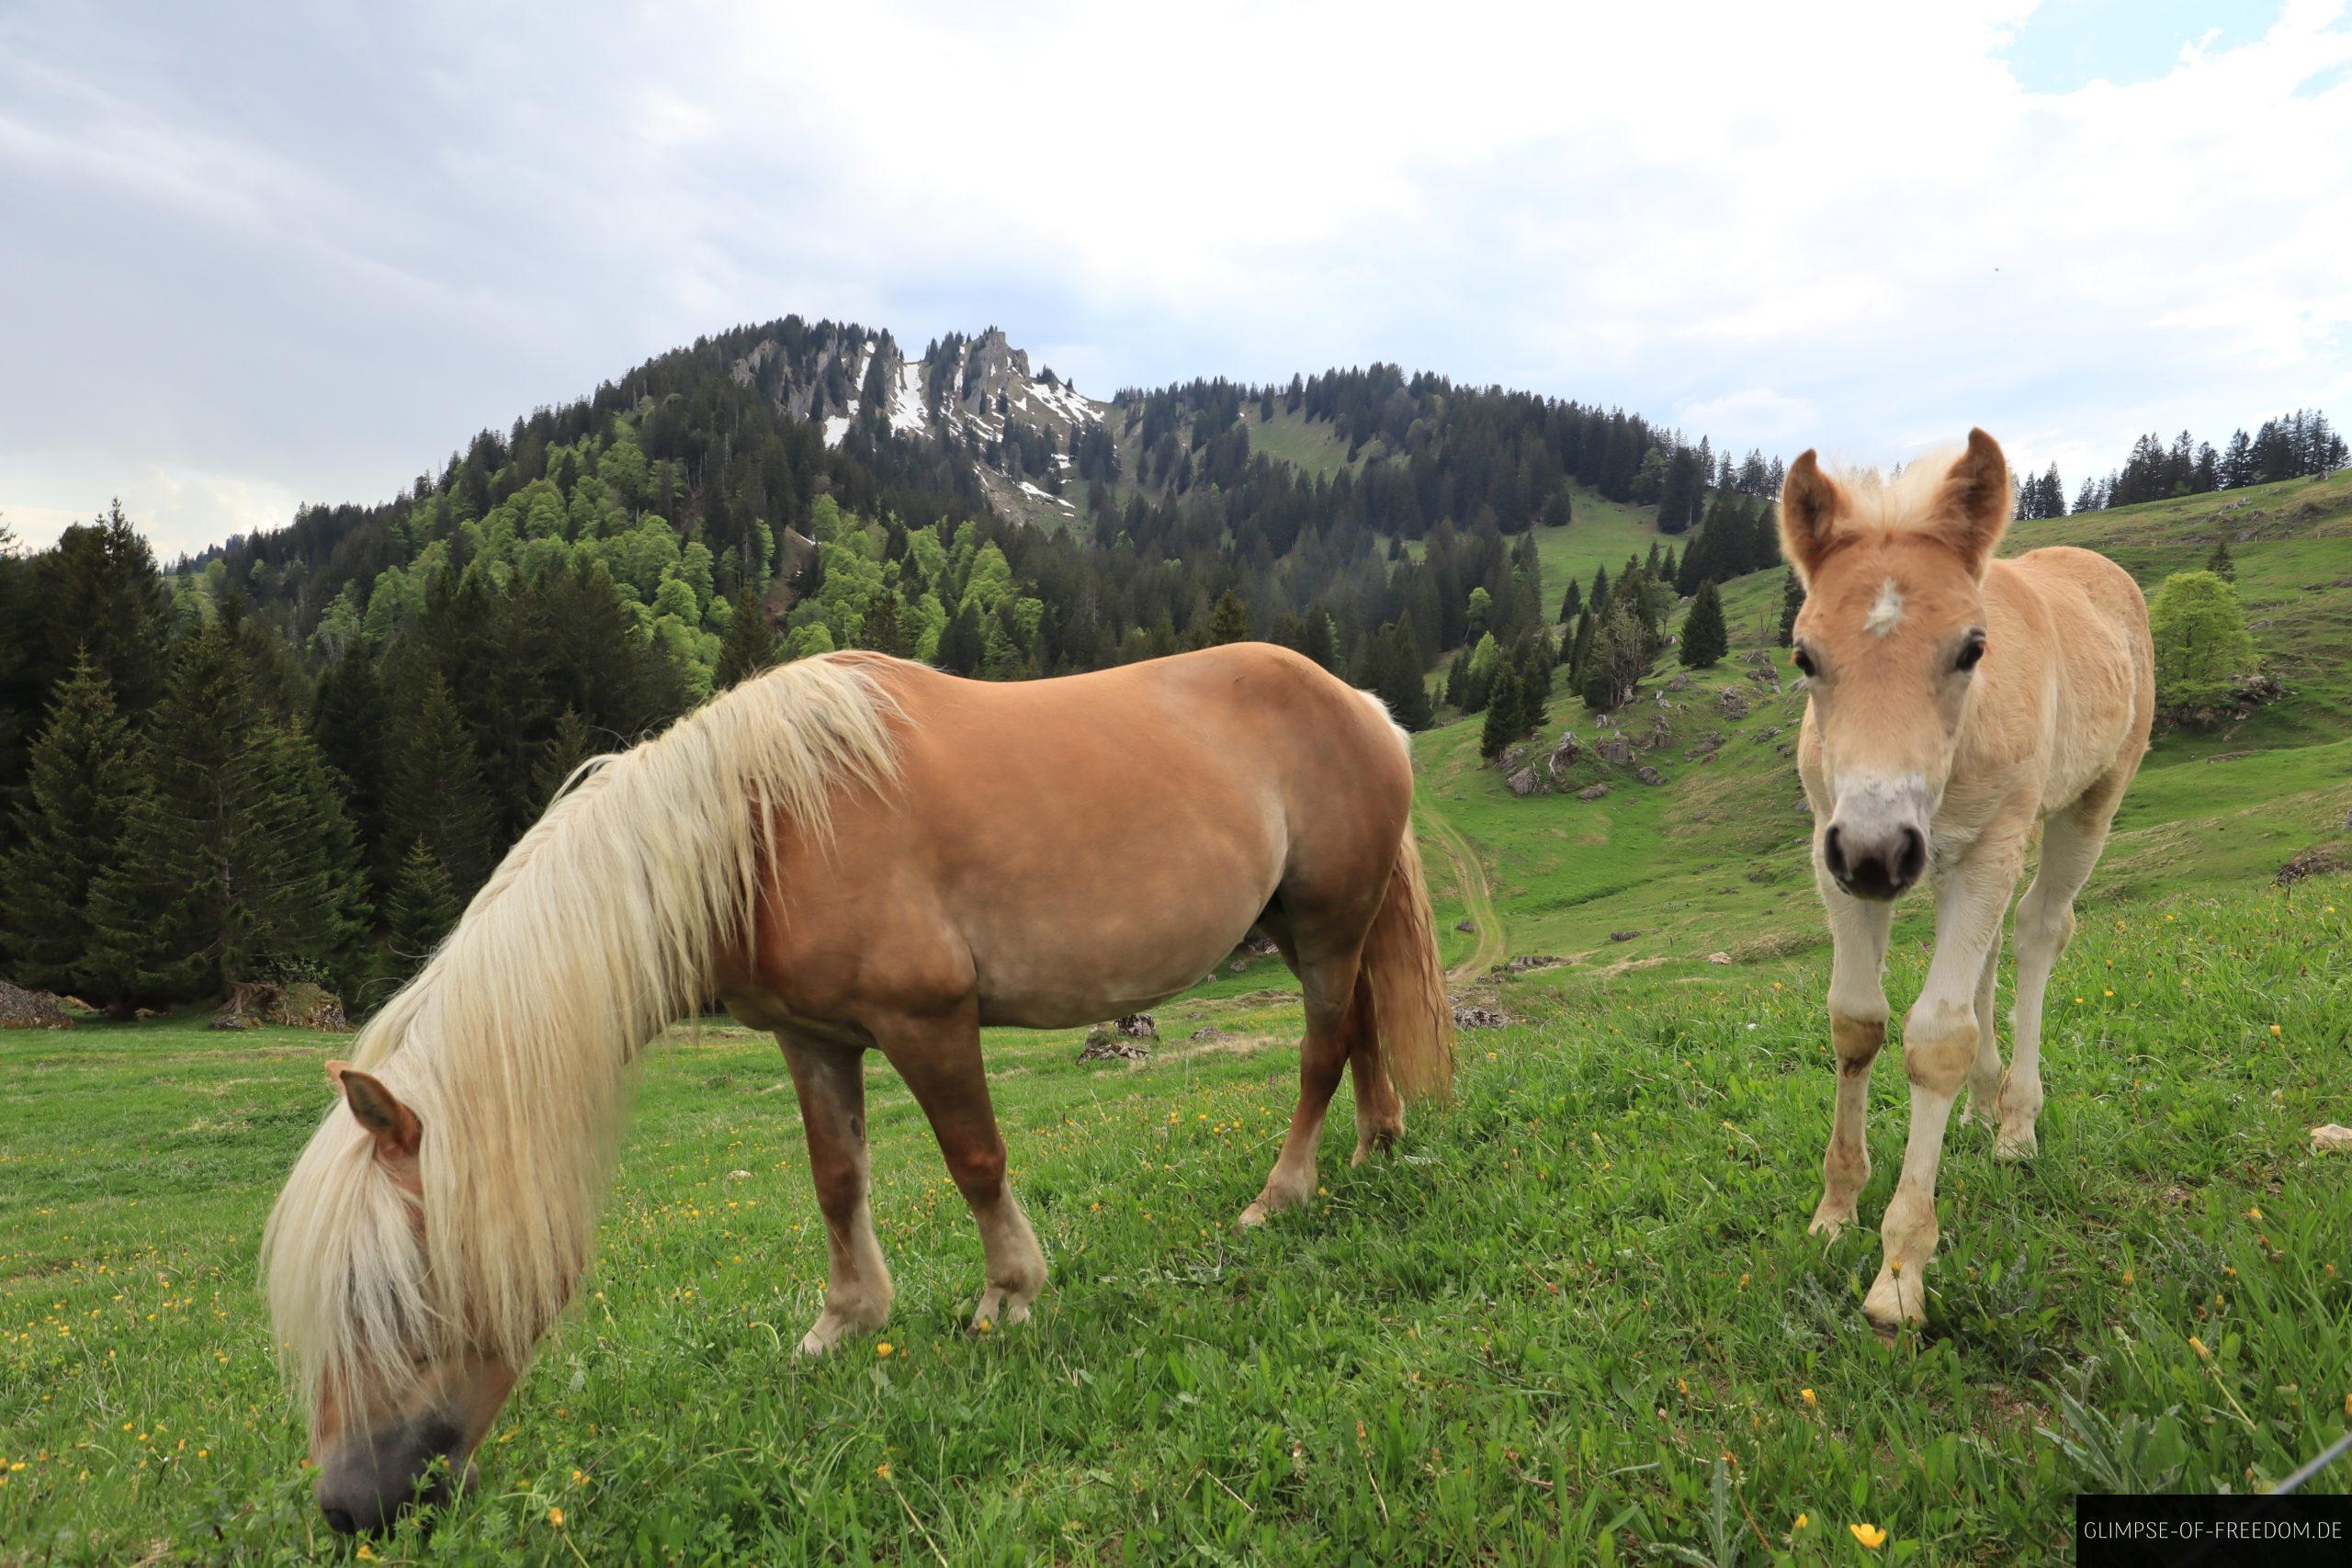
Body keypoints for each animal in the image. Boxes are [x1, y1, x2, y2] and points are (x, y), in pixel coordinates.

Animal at [260, 642, 1456, 1533]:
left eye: (391, 1298)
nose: (351, 1508)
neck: (767, 826)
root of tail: (1360, 703)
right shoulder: (815, 1040)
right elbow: (835, 1179)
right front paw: (842, 1325)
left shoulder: (927, 1021)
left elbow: (974, 1158)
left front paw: (1008, 1297)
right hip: (1305, 925)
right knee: (1357, 1032)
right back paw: (1374, 1149)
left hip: (1327, 920)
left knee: (1319, 1050)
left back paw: (1281, 1196)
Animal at [1778, 430, 2153, 1330]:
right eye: (1804, 654)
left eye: (1972, 648)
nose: (1879, 852)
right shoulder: (1831, 845)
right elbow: (1856, 1021)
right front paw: (1835, 1210)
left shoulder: (1983, 848)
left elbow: (1936, 1039)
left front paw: (1900, 1271)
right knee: (1986, 956)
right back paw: (1985, 1106)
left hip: (2087, 801)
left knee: (2039, 930)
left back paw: (2016, 1122)